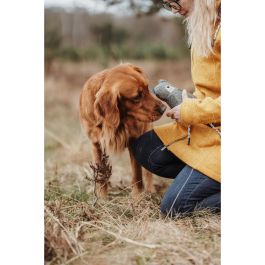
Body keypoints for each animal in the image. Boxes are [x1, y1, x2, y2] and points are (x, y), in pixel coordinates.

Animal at [79, 63, 165, 197]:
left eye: (147, 88)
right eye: (136, 97)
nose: (163, 109)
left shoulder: (135, 141)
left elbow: (137, 174)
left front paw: (137, 197)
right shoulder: (96, 144)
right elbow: (101, 175)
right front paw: (102, 197)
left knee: (147, 172)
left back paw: (150, 190)